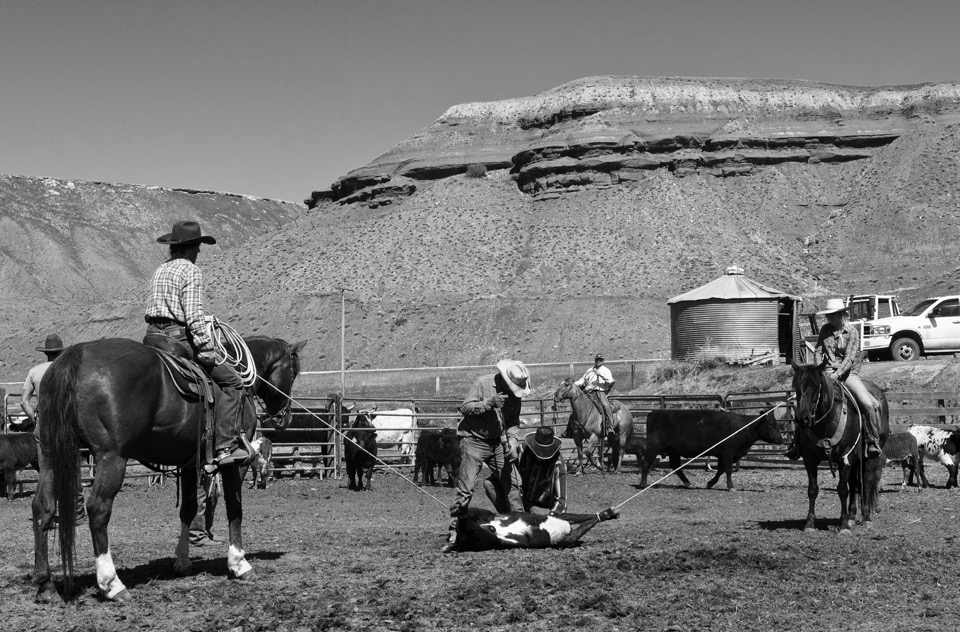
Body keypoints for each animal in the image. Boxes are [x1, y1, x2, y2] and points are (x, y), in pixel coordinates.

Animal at [32, 336, 304, 604]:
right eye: (293, 372)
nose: (285, 418)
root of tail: (76, 356)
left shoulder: (190, 463)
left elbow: (188, 509)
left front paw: (182, 562)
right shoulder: (235, 463)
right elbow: (235, 510)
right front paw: (239, 564)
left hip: (49, 453)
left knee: (43, 507)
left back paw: (46, 585)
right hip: (111, 458)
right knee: (98, 509)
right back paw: (112, 584)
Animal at [636, 408, 780, 492]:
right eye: (771, 425)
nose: (781, 439)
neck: (743, 427)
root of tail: (654, 412)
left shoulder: (723, 454)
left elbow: (721, 470)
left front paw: (710, 483)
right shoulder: (727, 452)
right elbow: (728, 470)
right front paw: (731, 487)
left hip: (673, 450)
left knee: (676, 466)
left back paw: (688, 483)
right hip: (654, 447)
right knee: (646, 463)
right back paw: (643, 484)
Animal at [792, 360, 888, 532]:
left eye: (816, 386)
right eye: (795, 386)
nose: (803, 418)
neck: (826, 422)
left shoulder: (845, 457)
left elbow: (842, 489)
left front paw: (843, 526)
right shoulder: (810, 460)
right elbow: (813, 489)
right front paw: (810, 524)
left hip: (870, 456)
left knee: (866, 481)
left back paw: (866, 518)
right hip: (856, 460)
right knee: (854, 483)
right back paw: (851, 517)